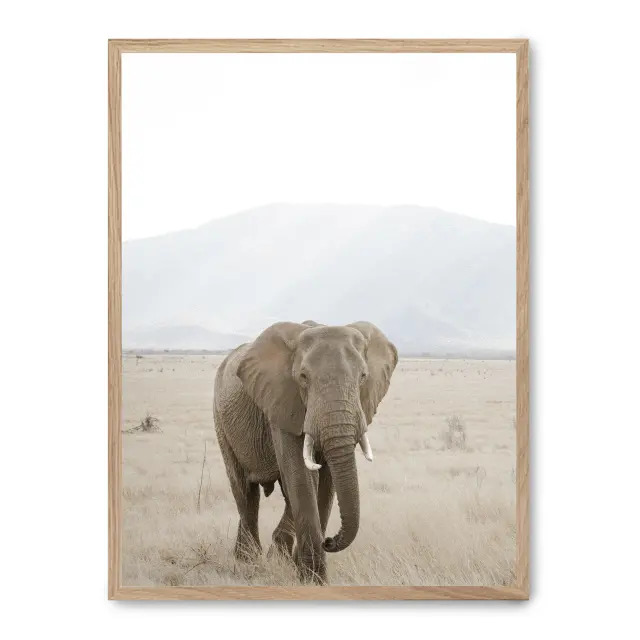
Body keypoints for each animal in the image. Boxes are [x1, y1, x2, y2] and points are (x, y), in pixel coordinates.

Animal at [213, 320, 397, 583]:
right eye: (303, 378)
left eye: (363, 377)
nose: (329, 540)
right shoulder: (282, 402)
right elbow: (301, 476)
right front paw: (312, 580)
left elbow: (327, 481)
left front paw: (306, 572)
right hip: (221, 420)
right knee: (245, 491)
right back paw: (248, 560)